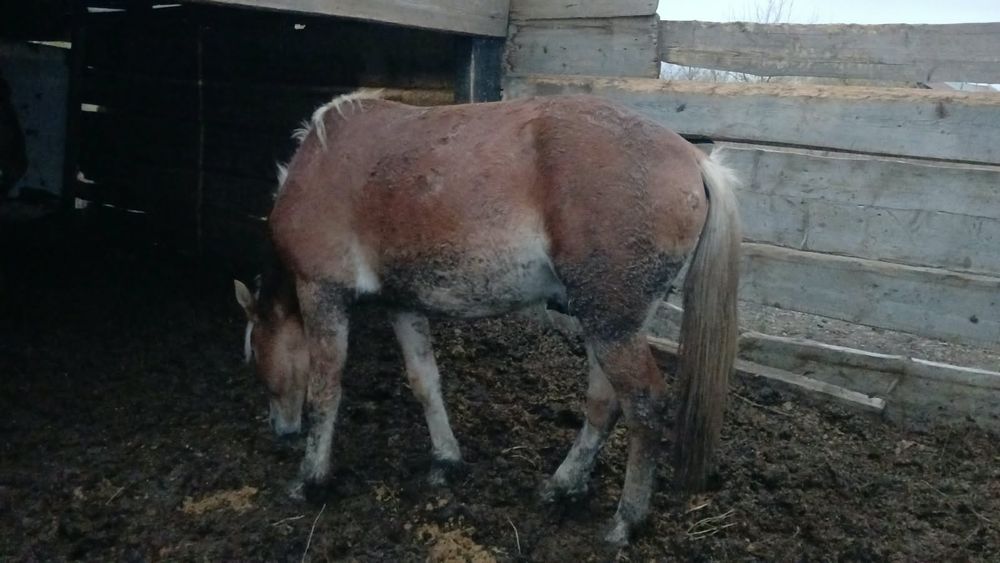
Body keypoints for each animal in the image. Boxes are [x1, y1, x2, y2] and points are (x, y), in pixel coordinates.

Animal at [233, 90, 741, 546]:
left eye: (255, 357)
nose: (280, 430)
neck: (321, 162)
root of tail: (695, 161)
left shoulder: (322, 293)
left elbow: (325, 391)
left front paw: (311, 478)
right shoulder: (404, 304)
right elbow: (424, 382)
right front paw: (445, 459)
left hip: (613, 327)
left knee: (644, 406)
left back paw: (626, 520)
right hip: (609, 323)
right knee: (604, 404)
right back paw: (563, 486)